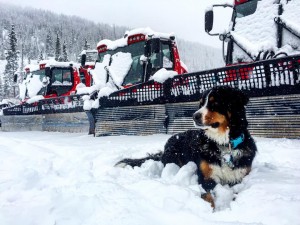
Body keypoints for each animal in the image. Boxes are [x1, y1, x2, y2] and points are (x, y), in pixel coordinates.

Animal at [116, 85, 256, 207]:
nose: (194, 116)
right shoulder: (206, 177)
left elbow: (235, 193)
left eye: (215, 103)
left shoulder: (240, 177)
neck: (223, 144)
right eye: (201, 104)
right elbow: (208, 197)